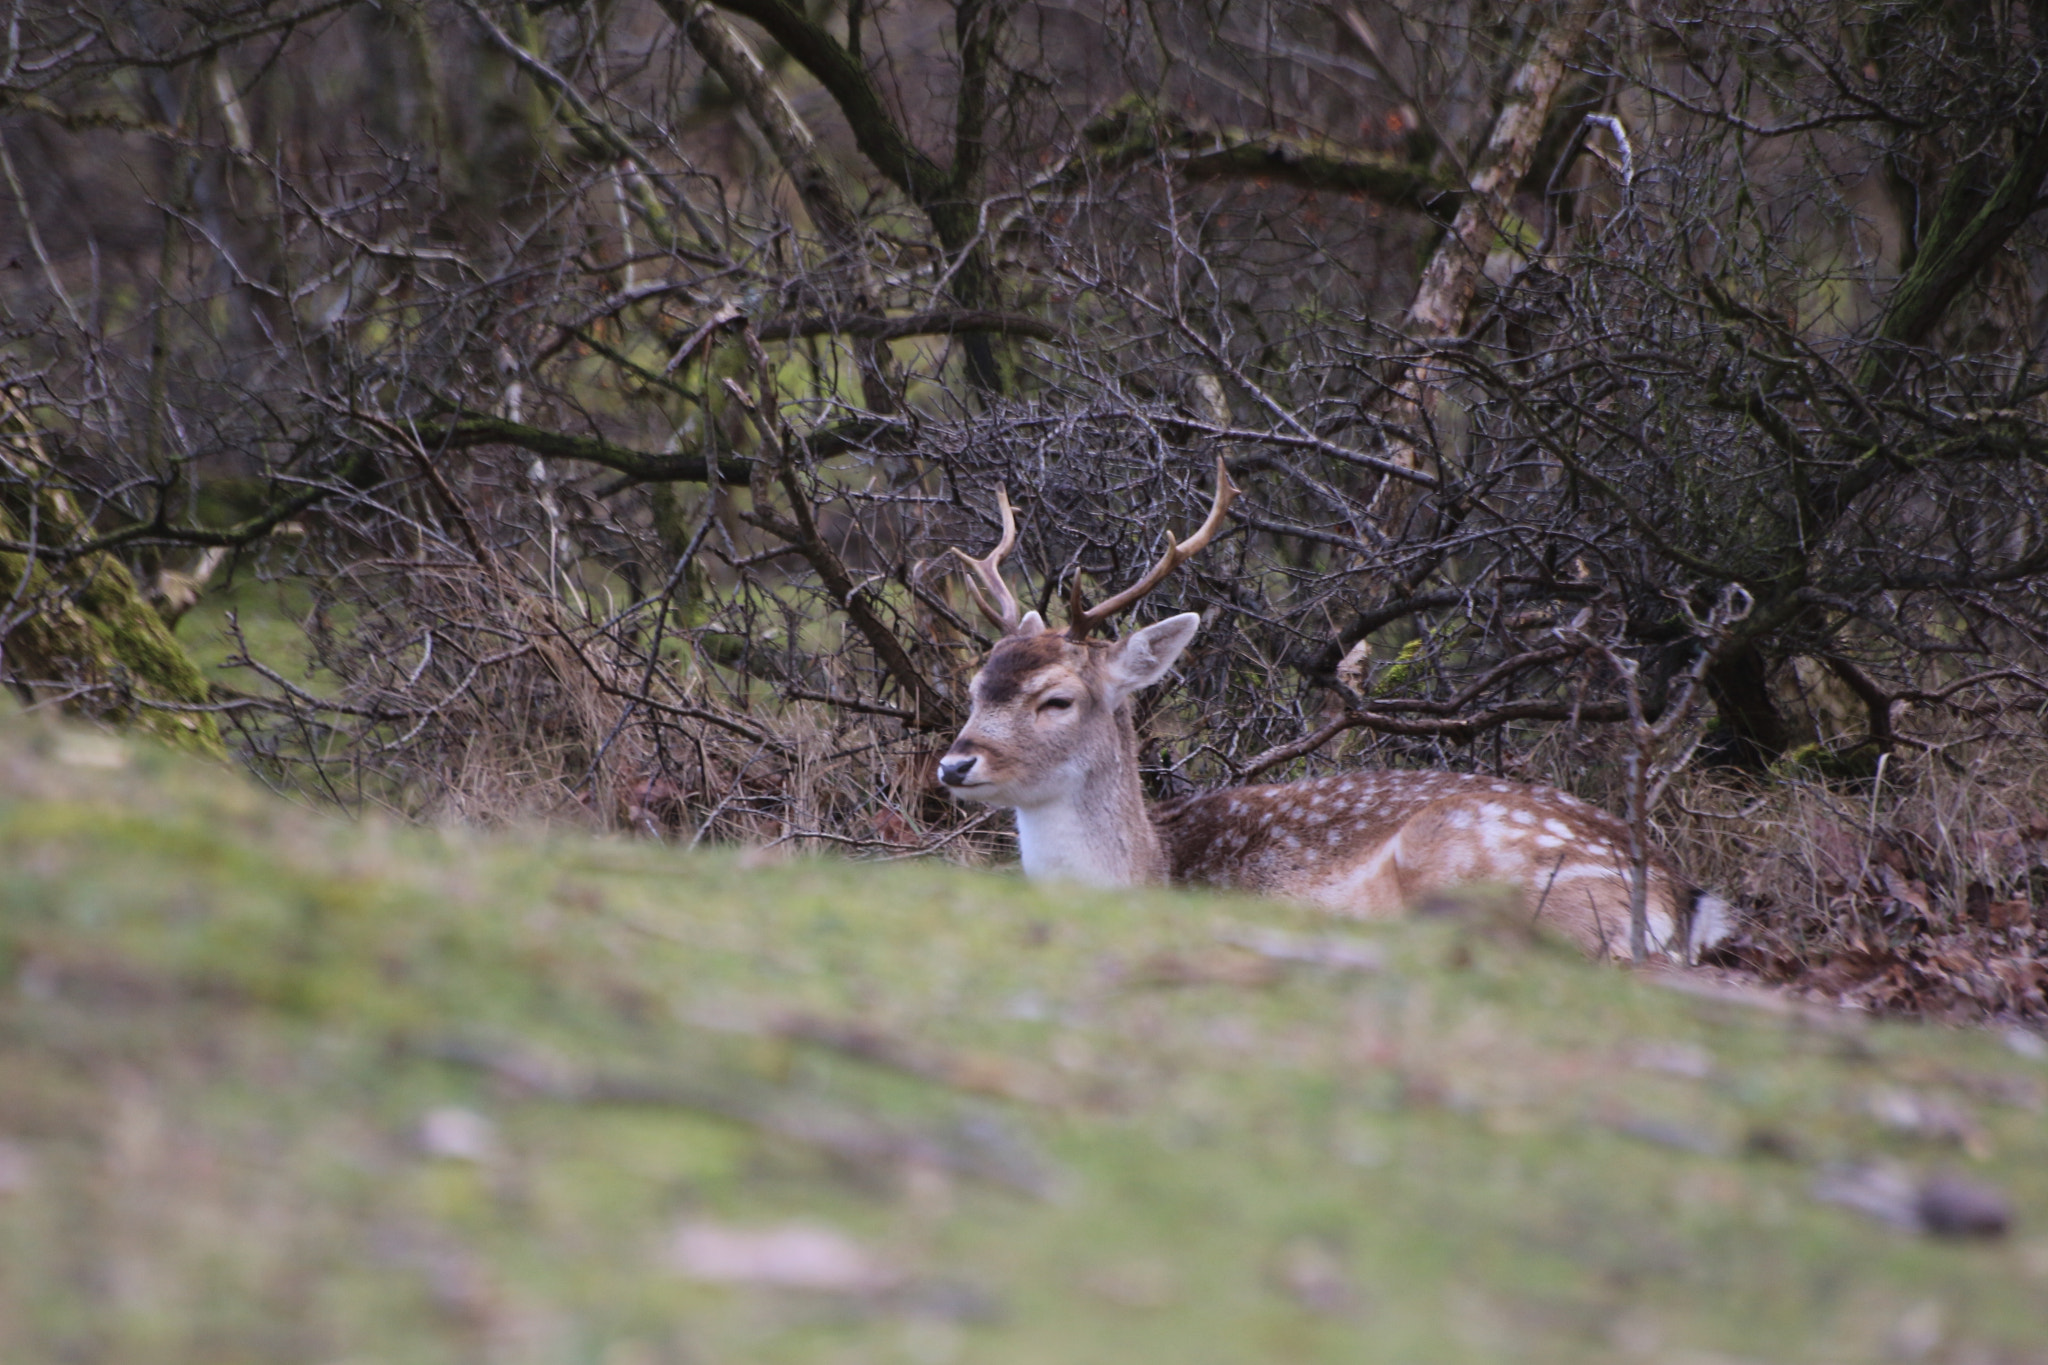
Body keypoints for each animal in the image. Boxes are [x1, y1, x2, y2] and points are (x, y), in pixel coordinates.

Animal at [934, 459, 1732, 962]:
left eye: (1057, 698)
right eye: (977, 686)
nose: (954, 762)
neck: (1155, 868)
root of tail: (1681, 896)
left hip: (1461, 857)